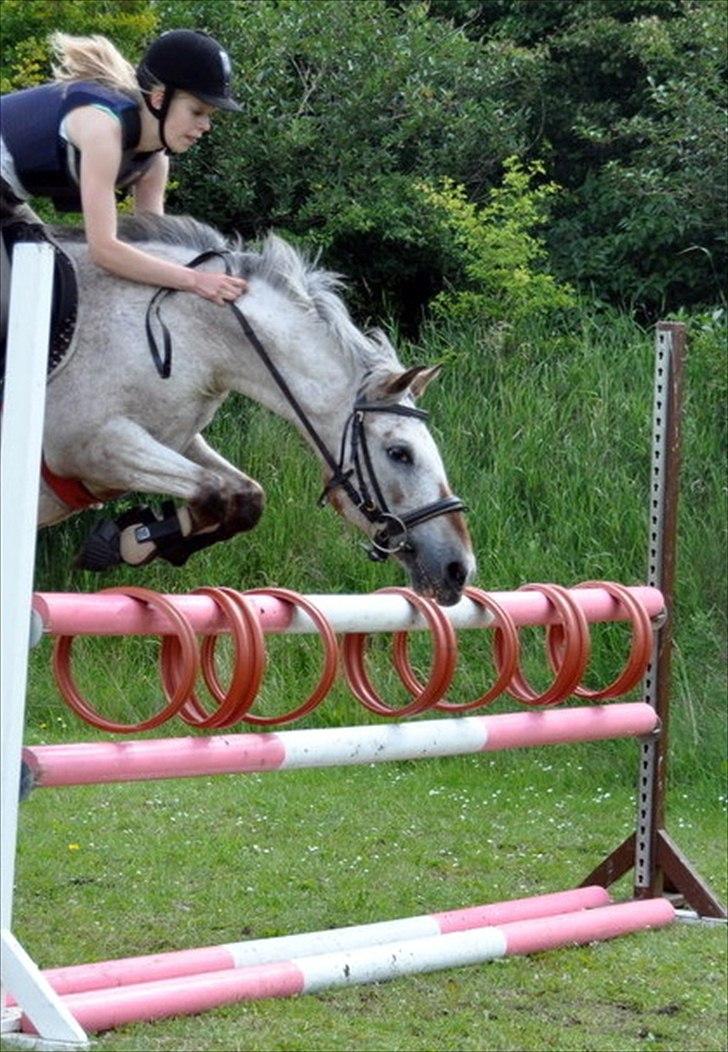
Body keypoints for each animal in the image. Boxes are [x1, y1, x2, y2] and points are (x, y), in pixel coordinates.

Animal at [36, 214, 475, 605]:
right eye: (399, 453)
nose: (460, 569)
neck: (187, 334)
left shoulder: (177, 440)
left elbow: (245, 497)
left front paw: (134, 540)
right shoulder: (92, 447)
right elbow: (214, 491)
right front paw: (127, 542)